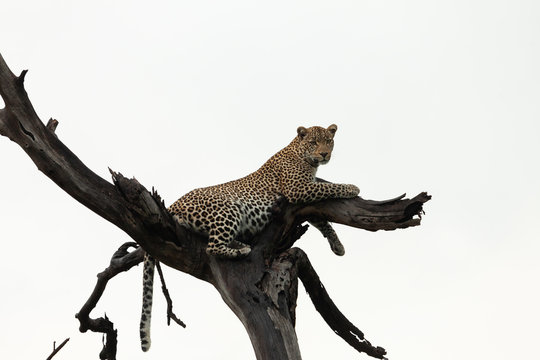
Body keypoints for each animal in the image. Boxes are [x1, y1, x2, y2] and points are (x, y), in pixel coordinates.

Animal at [139, 124, 358, 352]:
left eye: (328, 141)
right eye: (314, 142)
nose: (324, 154)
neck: (302, 155)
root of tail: (175, 203)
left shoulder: (305, 198)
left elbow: (323, 221)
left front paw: (338, 245)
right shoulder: (298, 188)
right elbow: (329, 188)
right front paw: (352, 187)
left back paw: (241, 243)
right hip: (229, 208)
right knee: (212, 246)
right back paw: (242, 249)